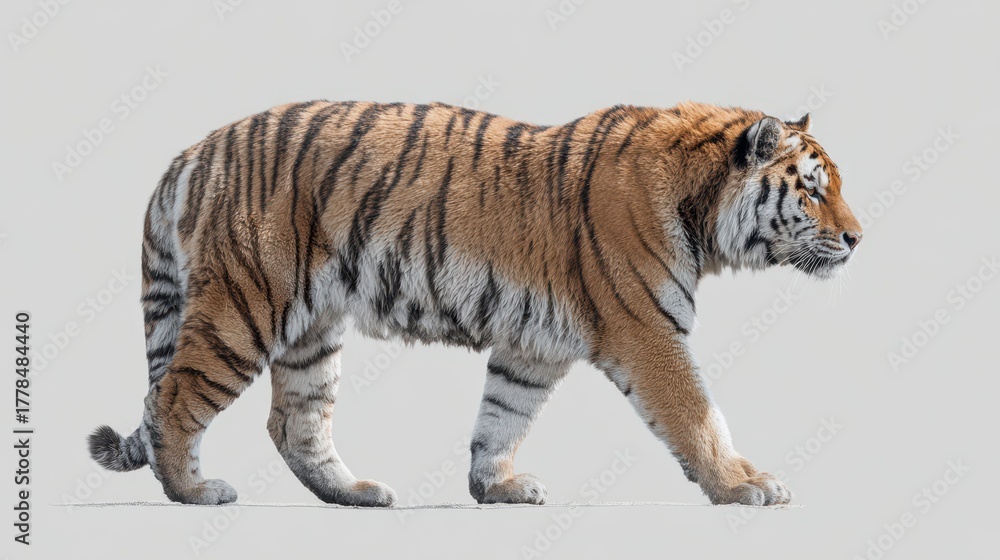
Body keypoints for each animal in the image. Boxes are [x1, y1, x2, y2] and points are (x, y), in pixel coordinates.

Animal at [88, 100, 862, 508]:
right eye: (813, 189)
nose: (859, 238)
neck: (703, 211)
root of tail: (194, 150)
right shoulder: (648, 332)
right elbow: (699, 416)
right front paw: (745, 485)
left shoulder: (532, 345)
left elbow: (502, 416)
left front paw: (498, 488)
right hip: (243, 309)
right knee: (171, 399)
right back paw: (194, 491)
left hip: (311, 330)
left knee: (292, 422)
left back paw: (356, 493)